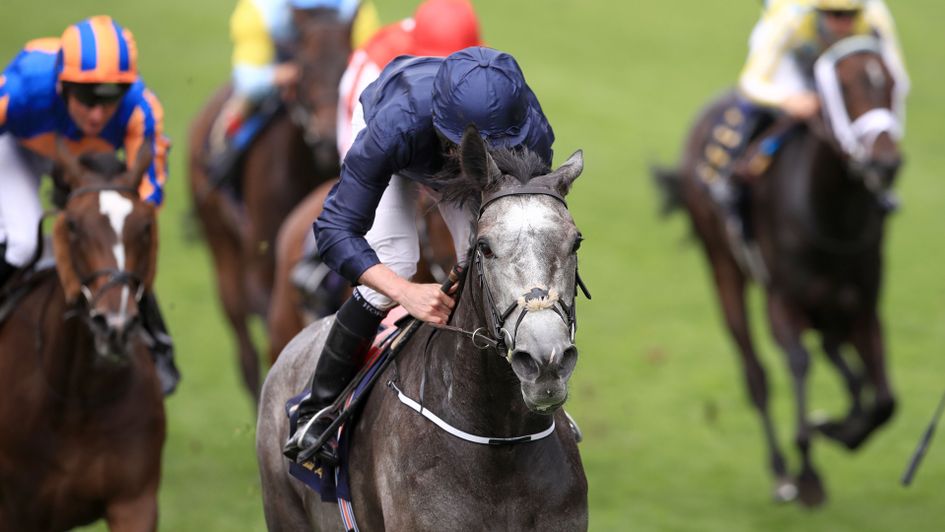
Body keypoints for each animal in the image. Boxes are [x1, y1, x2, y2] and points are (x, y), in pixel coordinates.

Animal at [0, 140, 166, 528]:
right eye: (73, 225)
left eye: (146, 225)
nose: (115, 325)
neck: (78, 400)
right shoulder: (14, 510)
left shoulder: (135, 501)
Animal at [190, 7, 352, 400]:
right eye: (305, 64)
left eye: (347, 60)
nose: (328, 136)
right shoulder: (261, 273)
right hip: (222, 250)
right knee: (246, 353)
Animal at [652, 35, 904, 504]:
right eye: (842, 85)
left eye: (892, 82)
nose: (885, 163)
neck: (832, 216)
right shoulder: (783, 301)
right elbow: (799, 364)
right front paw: (807, 472)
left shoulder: (864, 307)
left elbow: (884, 402)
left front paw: (840, 430)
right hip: (724, 269)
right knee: (757, 373)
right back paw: (781, 470)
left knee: (836, 355)